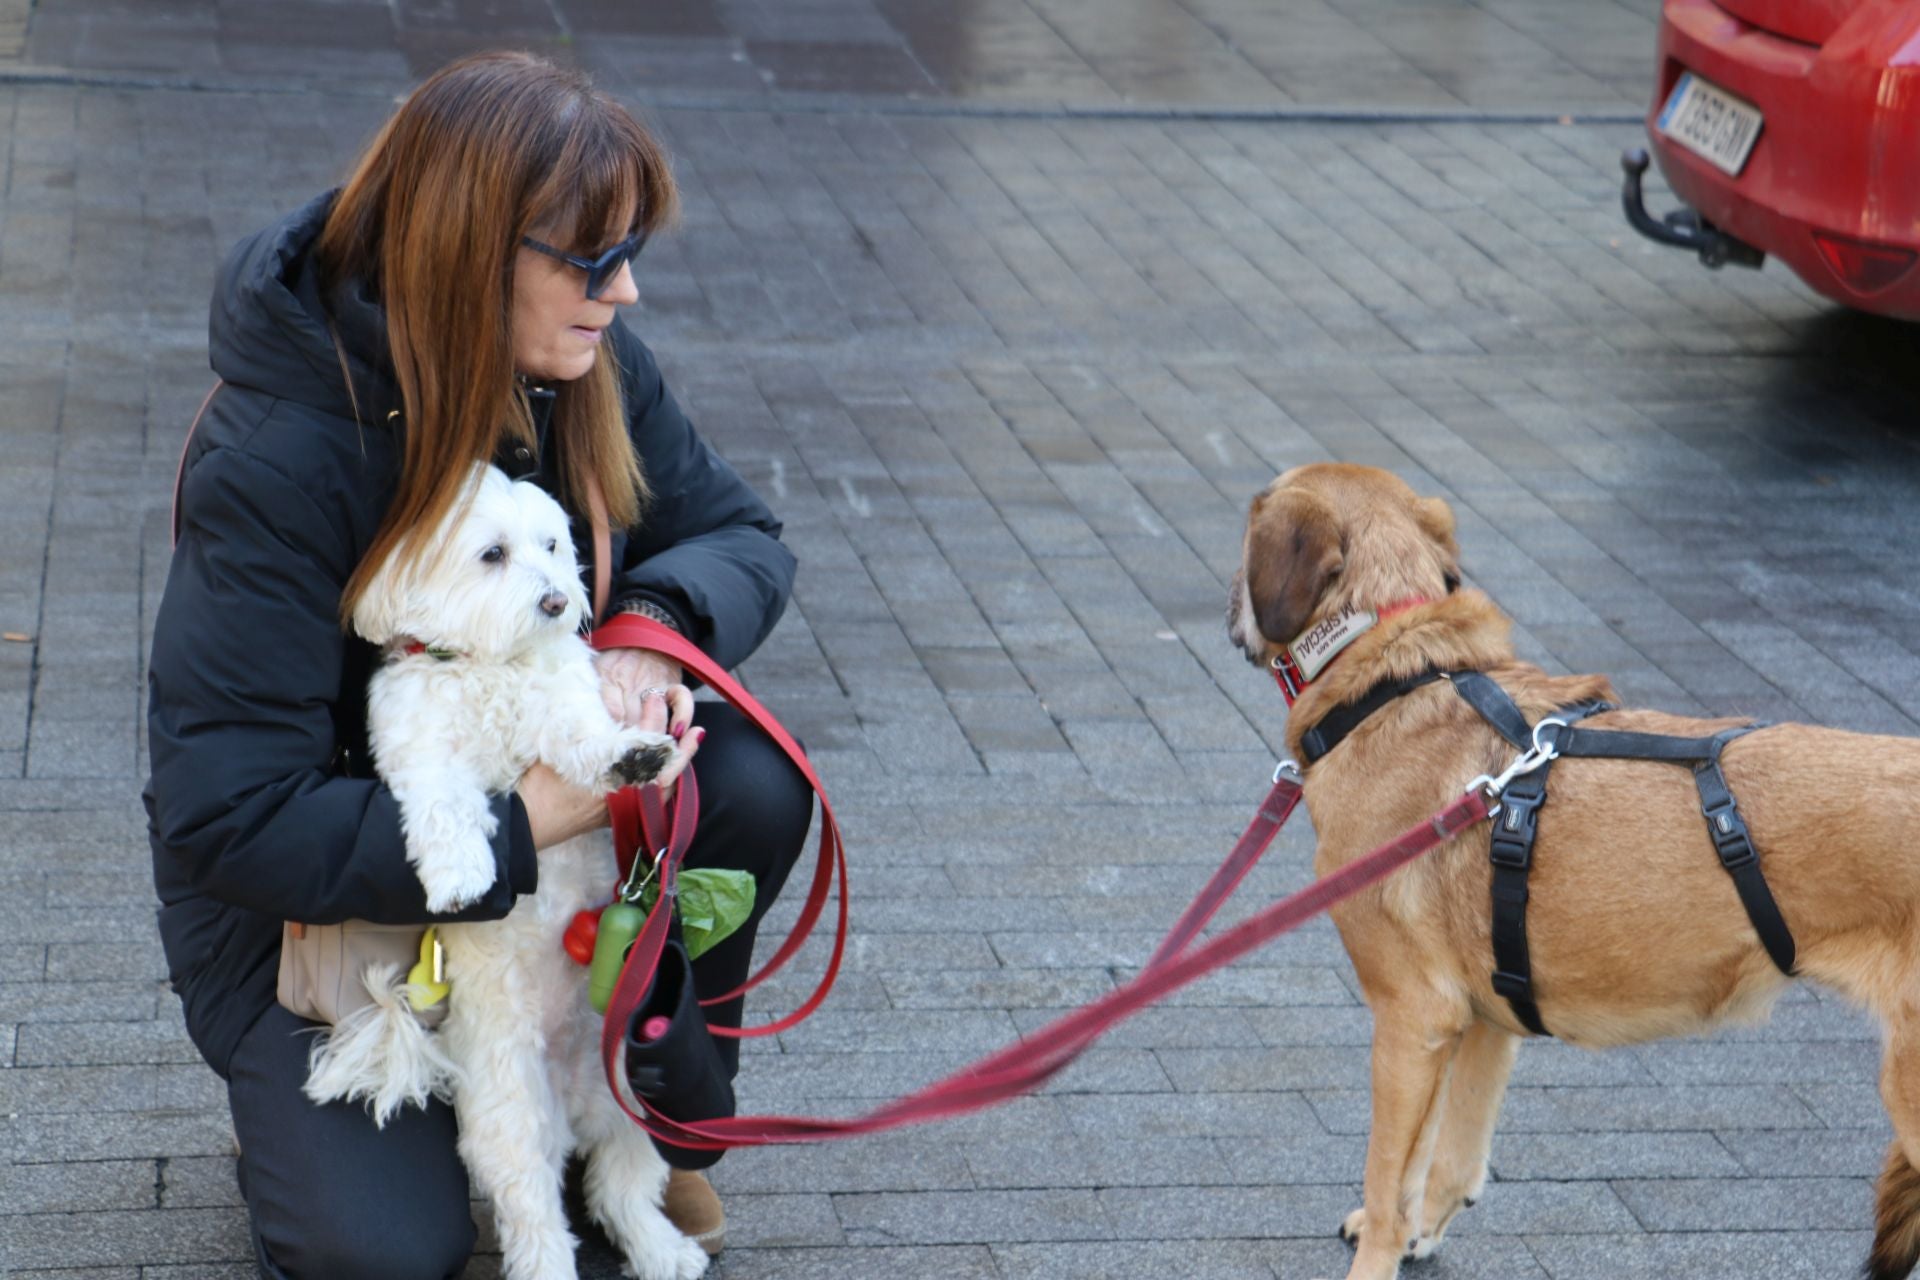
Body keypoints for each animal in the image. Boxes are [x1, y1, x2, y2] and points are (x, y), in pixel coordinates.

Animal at [303, 466, 710, 1280]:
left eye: (552, 545)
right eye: (492, 554)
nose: (556, 599)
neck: (486, 666)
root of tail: (577, 1099)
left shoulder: (563, 705)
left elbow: (586, 738)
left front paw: (633, 757)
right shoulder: (419, 750)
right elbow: (444, 803)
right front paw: (461, 875)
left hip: (637, 1099)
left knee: (622, 1187)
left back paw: (662, 1249)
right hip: (511, 1116)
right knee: (537, 1218)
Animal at [1228, 462, 1920, 1280]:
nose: (1228, 609)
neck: (1396, 671)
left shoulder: (1409, 1018)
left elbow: (1388, 1167)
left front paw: (1378, 1254)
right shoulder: (1479, 1021)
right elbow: (1446, 1156)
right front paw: (1415, 1230)